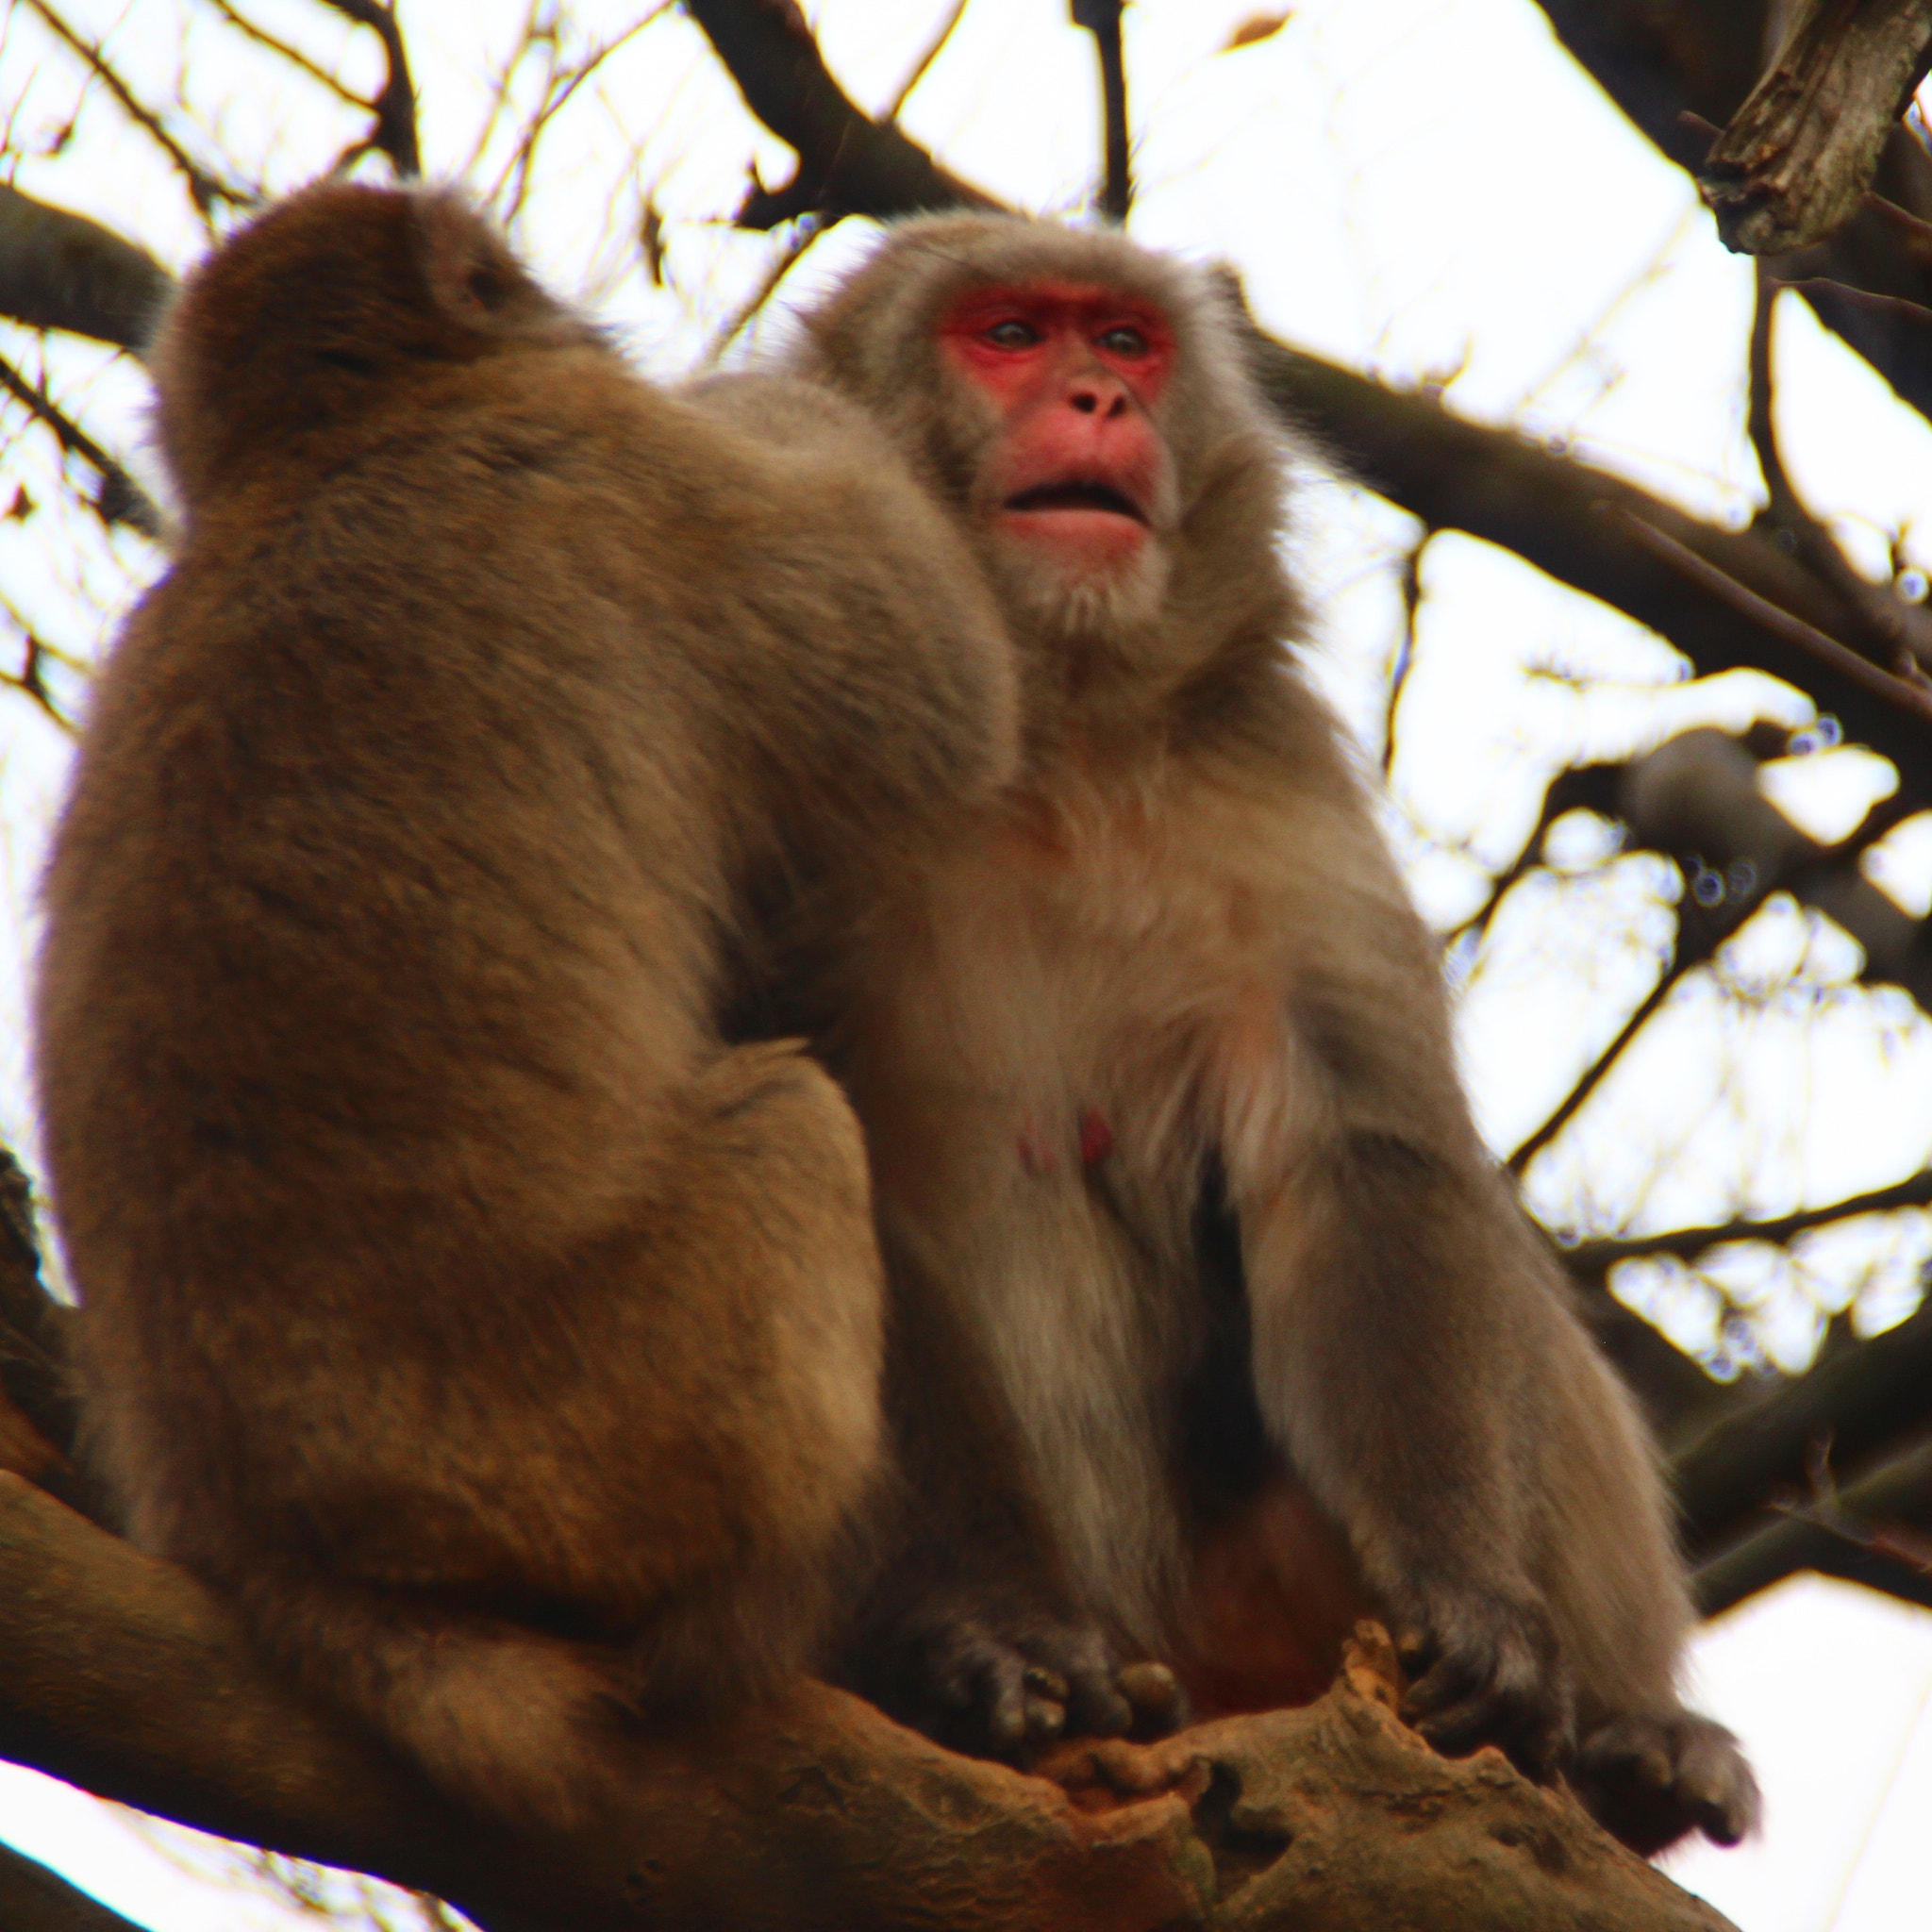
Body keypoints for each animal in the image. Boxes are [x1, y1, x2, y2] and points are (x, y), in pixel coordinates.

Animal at [30, 180, 1025, 1834]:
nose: (577, 317)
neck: (335, 434)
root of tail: (279, 1548)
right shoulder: (615, 465)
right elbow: (939, 672)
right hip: (596, 1422)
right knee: (787, 1118)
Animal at [778, 214, 1760, 1856]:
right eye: (1009, 334)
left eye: (1123, 343)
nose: (1101, 403)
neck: (1056, 726)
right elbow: (810, 1138)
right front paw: (988, 1632)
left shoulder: (1266, 771)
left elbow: (1358, 1160)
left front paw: (1474, 1607)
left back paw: (1636, 1750)